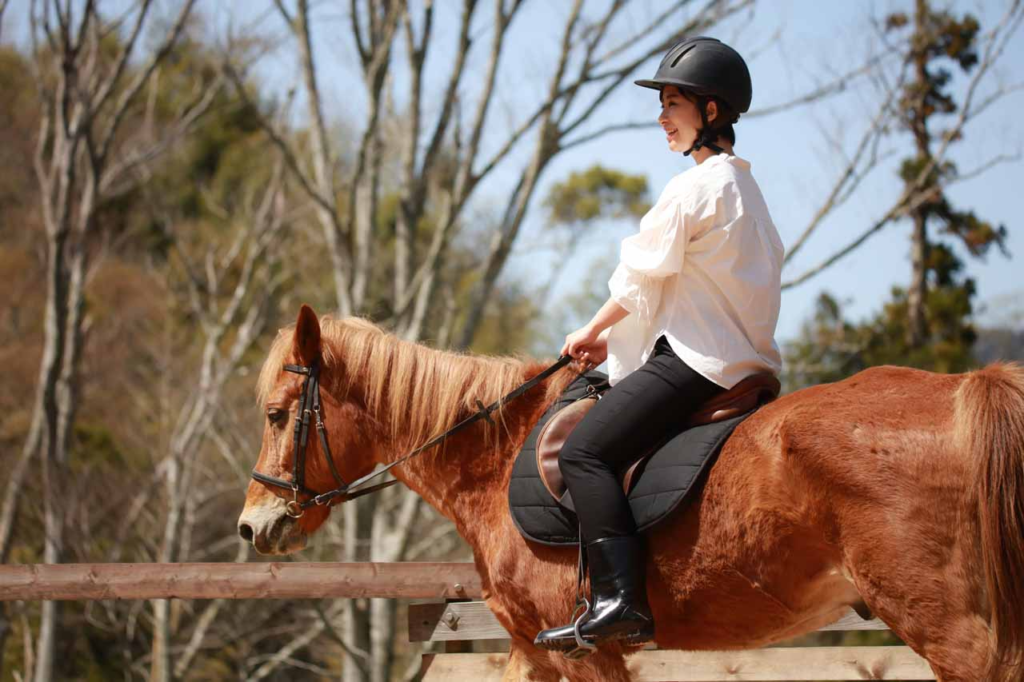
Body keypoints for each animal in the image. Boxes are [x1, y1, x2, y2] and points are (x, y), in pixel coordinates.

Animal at [238, 305, 1024, 682]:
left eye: (276, 415)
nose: (252, 527)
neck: (495, 453)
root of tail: (966, 390)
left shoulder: (584, 653)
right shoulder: (533, 650)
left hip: (950, 632)